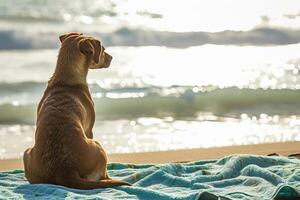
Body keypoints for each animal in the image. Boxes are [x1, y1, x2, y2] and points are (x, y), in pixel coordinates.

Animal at [22, 32, 131, 189]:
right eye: (103, 49)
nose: (111, 57)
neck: (65, 80)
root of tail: (65, 170)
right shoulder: (89, 130)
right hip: (98, 146)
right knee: (103, 175)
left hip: (26, 153)